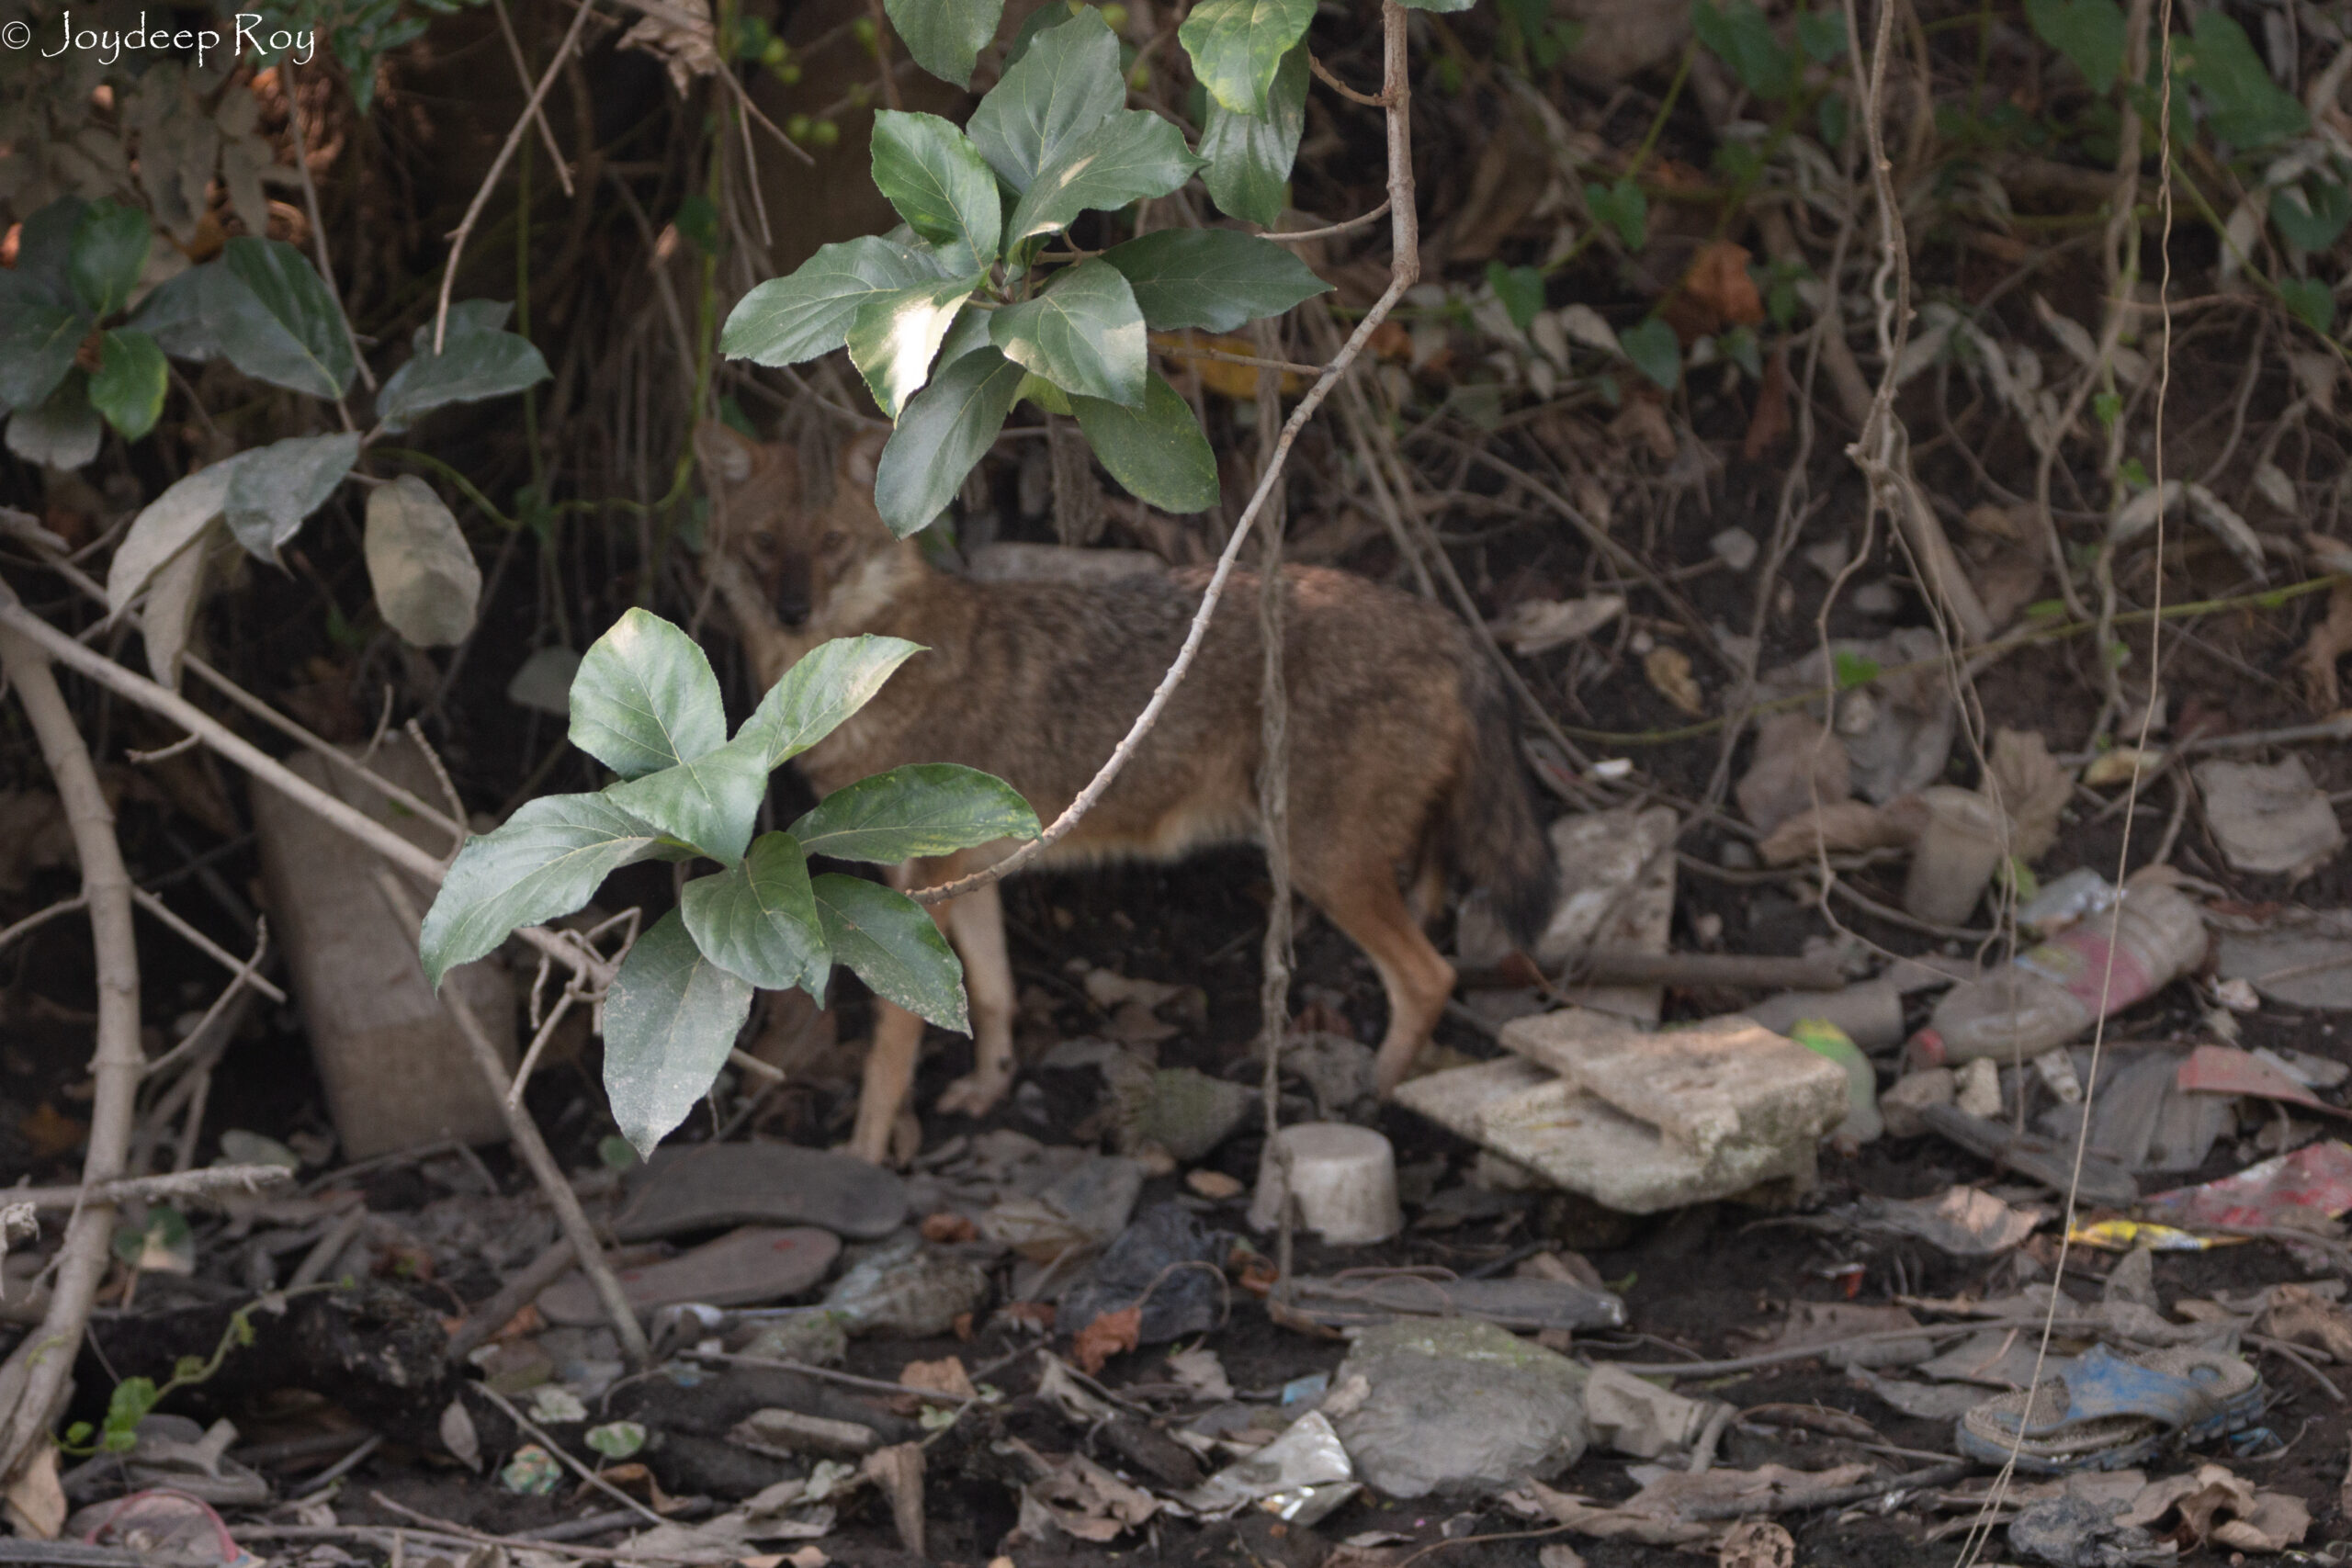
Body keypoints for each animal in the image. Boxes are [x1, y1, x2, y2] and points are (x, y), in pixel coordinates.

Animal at [694, 420, 1557, 1164]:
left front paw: (866, 1153)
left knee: (1429, 977)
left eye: (833, 542)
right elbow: (992, 995)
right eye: (765, 541)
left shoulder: (919, 889)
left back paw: (1372, 1096)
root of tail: (1447, 625)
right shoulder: (968, 874)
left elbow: (890, 1048)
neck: (859, 679)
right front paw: (988, 1087)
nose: (792, 609)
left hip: (1320, 862)